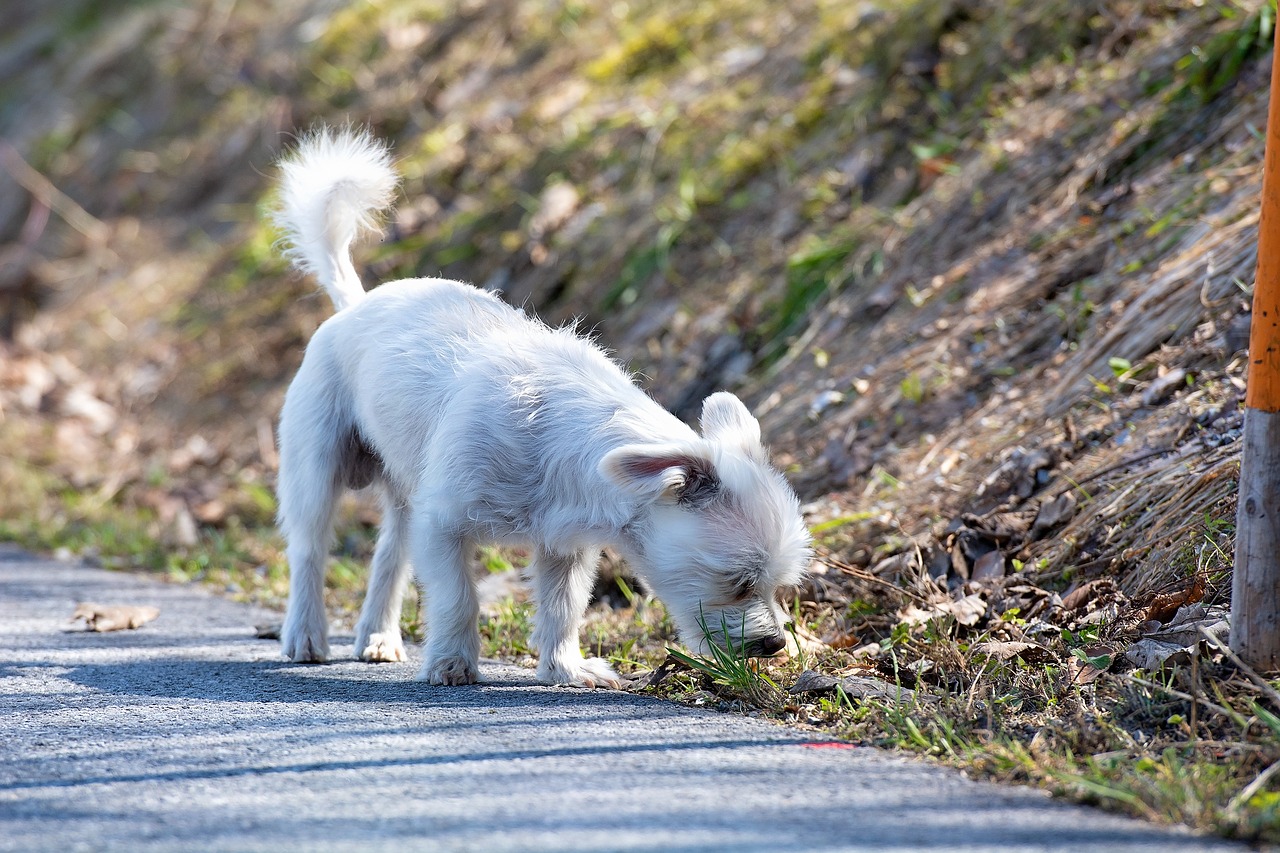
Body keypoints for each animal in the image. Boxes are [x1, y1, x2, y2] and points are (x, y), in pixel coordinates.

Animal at [270, 126, 808, 686]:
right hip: (316, 474)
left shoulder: (562, 547)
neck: (558, 440)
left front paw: (564, 669)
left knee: (389, 557)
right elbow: (459, 598)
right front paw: (451, 663)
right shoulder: (442, 525)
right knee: (309, 551)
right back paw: (305, 635)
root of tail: (354, 305)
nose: (774, 644)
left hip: (404, 497)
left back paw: (377, 637)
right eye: (739, 581)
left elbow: (562, 607)